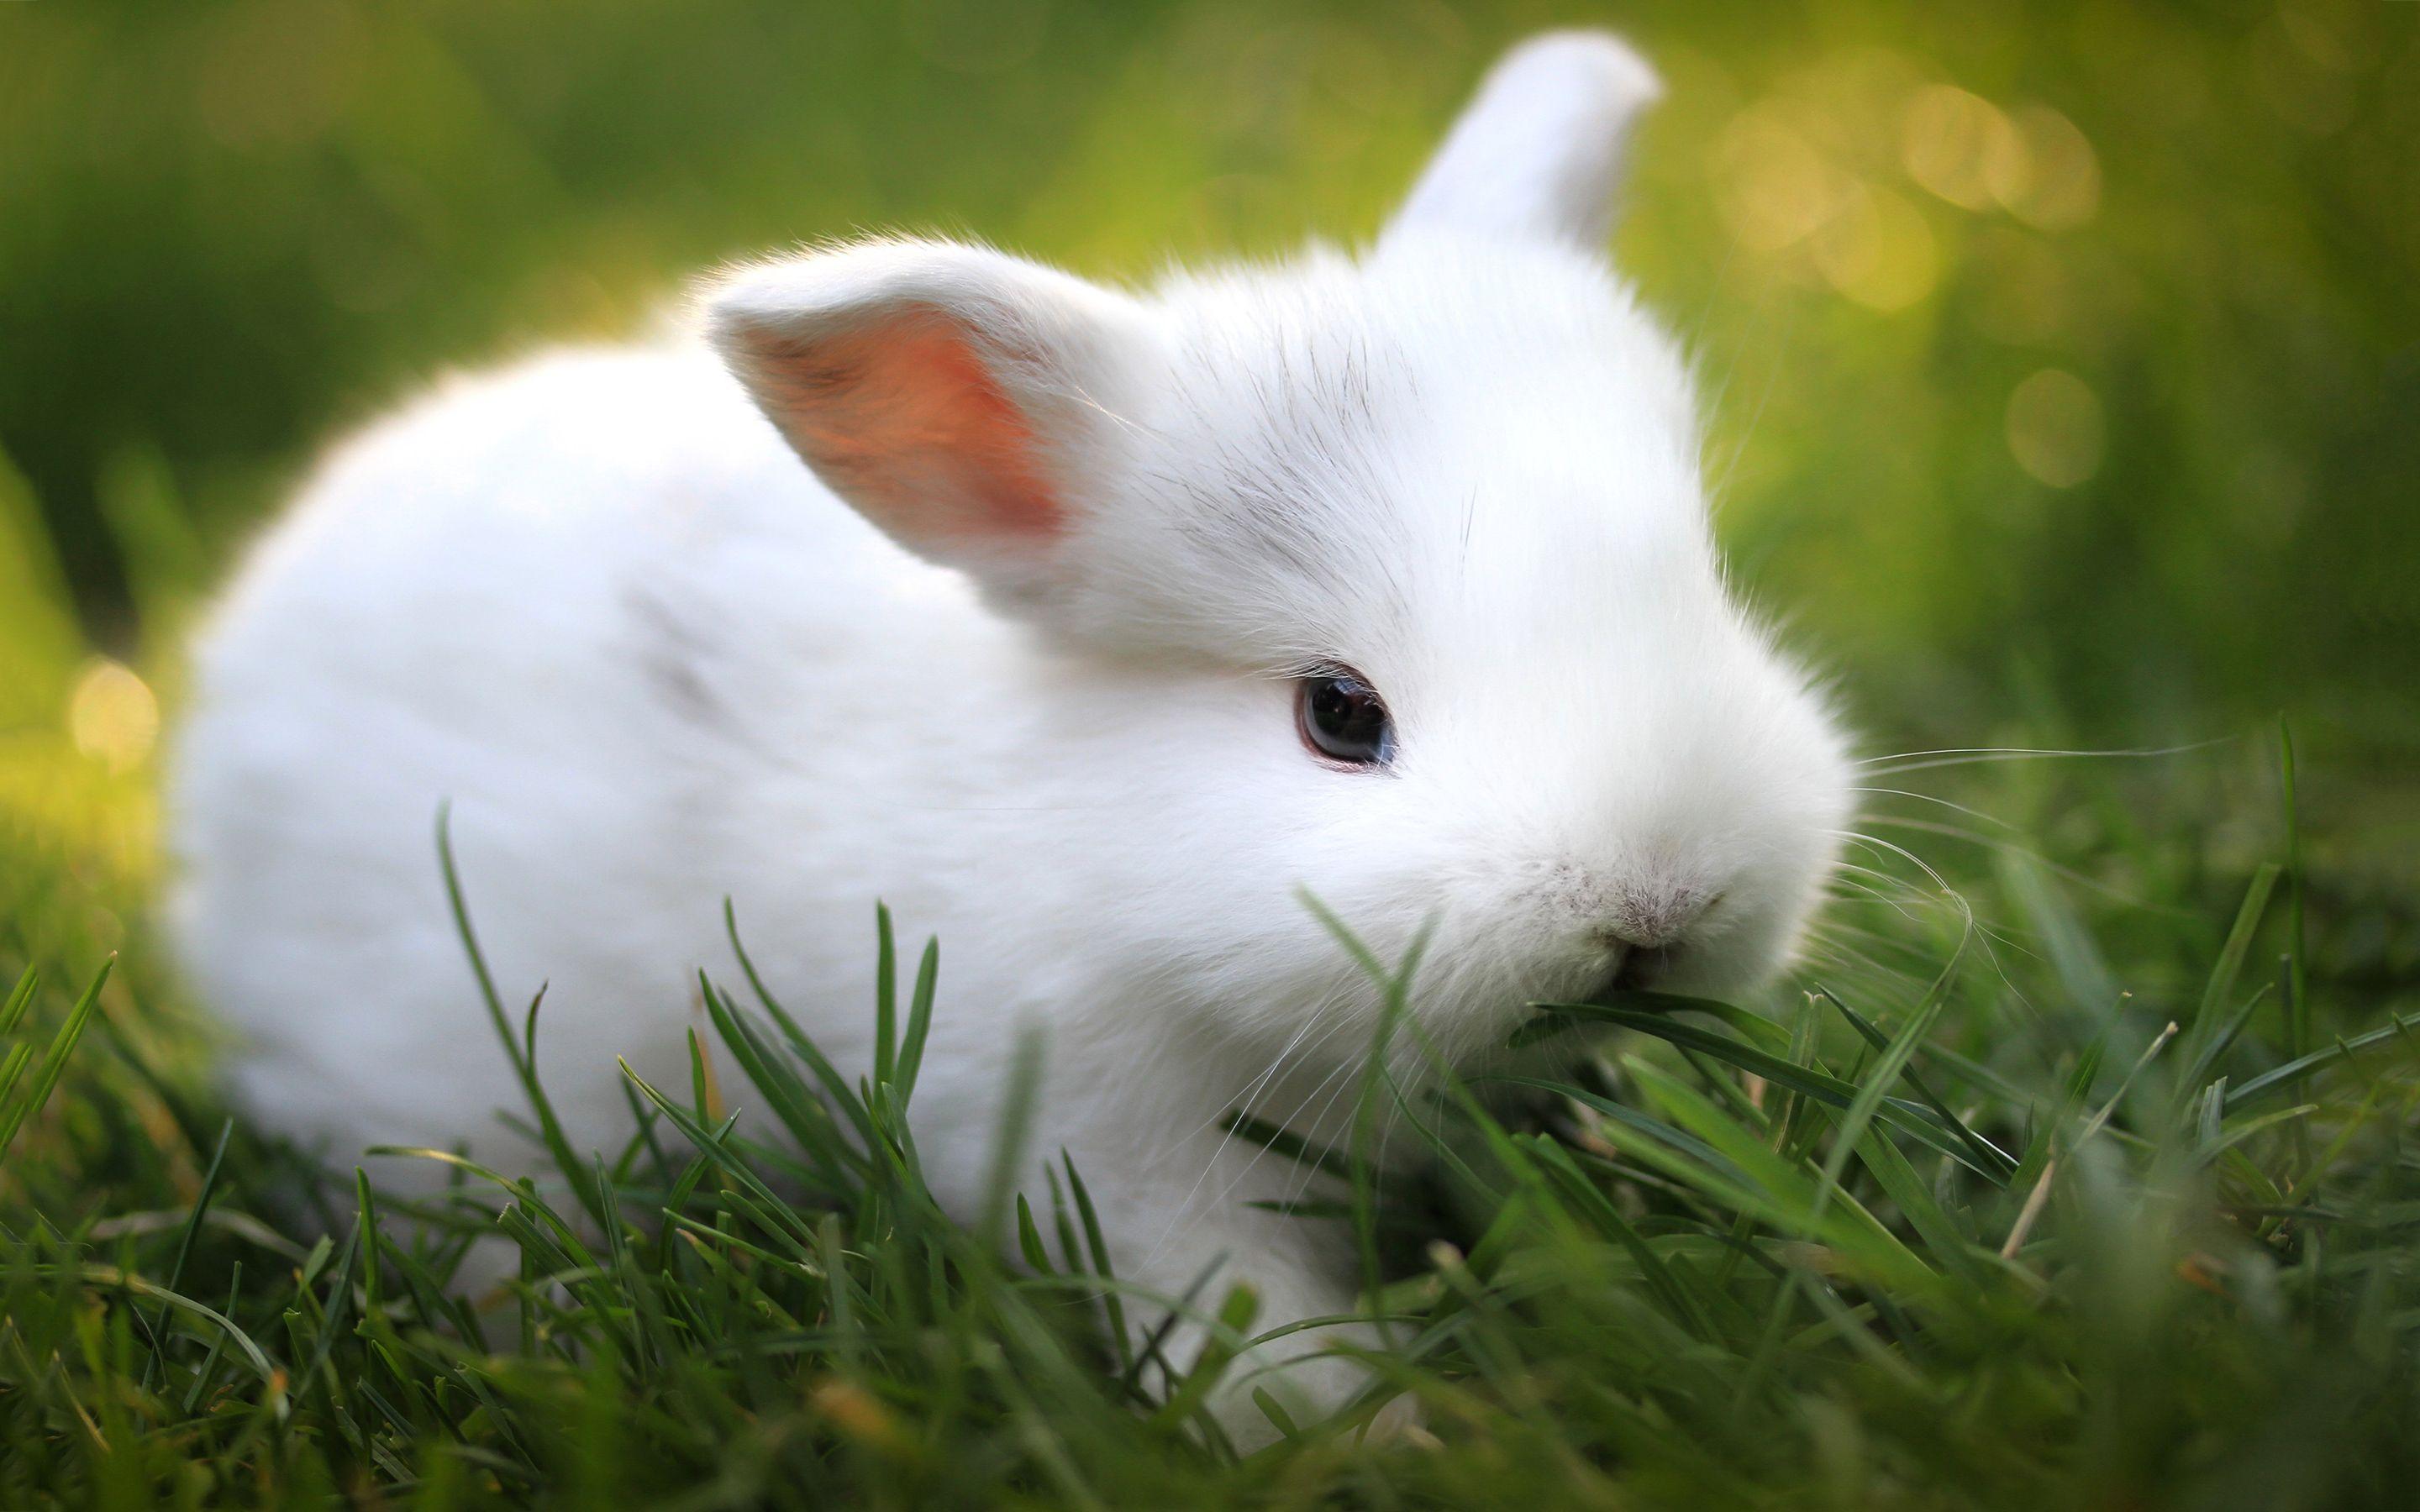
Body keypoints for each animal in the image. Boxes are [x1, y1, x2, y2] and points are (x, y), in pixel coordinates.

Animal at [170, 29, 1852, 1433]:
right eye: (1338, 715)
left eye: (1702, 588)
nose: (1659, 904)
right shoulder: (1104, 1147)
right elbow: (1234, 1315)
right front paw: (1362, 1434)